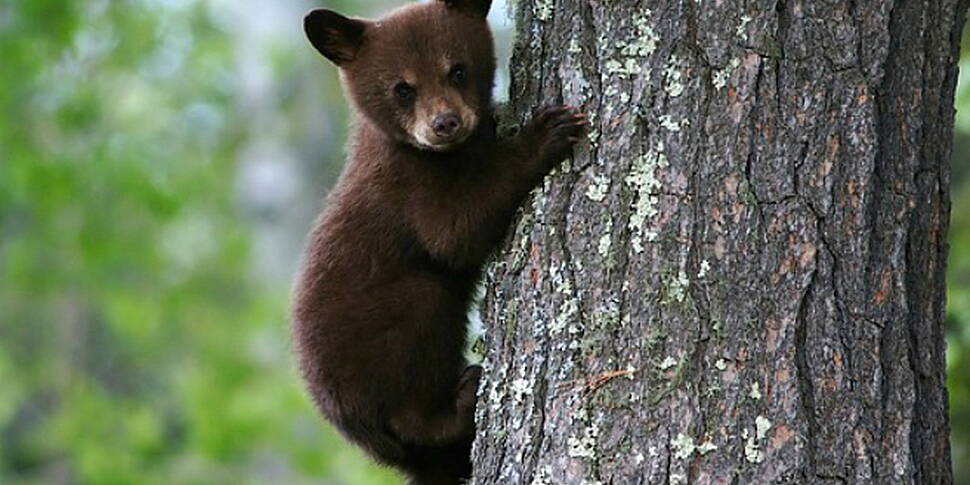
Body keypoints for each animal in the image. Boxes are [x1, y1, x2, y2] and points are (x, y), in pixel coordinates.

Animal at [290, 0, 586, 483]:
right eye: (402, 88)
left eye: (458, 70)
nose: (445, 123)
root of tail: (355, 430)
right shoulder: (409, 186)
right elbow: (454, 233)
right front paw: (546, 132)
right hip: (384, 338)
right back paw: (461, 401)